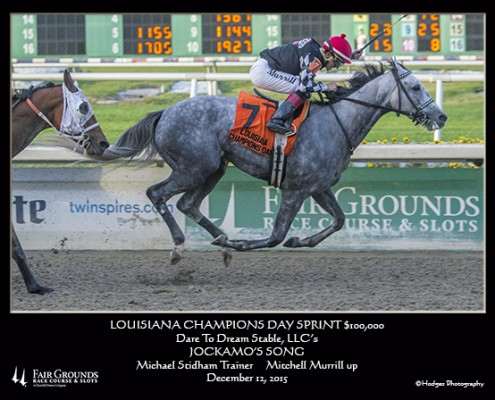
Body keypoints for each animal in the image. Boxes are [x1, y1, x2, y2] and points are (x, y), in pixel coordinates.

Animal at [95, 59, 448, 266]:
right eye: (415, 86)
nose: (441, 116)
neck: (337, 122)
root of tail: (165, 112)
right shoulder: (296, 189)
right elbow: (276, 234)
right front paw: (248, 242)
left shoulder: (318, 188)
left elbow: (339, 220)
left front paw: (300, 240)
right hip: (192, 168)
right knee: (158, 194)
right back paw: (182, 246)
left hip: (213, 168)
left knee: (187, 205)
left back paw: (222, 240)